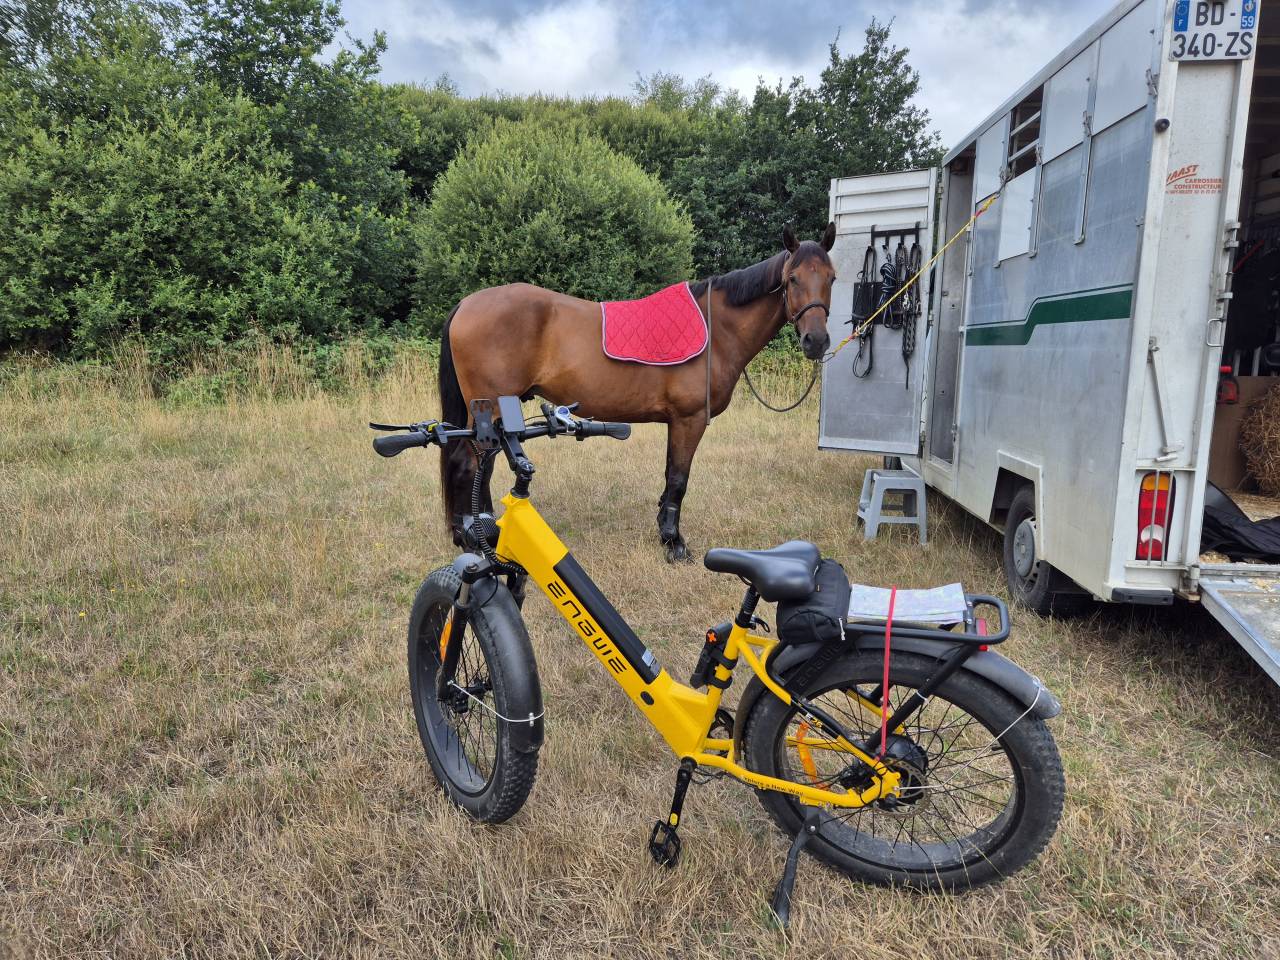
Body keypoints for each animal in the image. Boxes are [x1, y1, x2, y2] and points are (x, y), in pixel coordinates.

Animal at [437, 222, 837, 561]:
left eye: (832, 277)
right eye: (792, 278)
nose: (815, 341)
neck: (717, 330)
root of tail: (467, 304)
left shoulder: (678, 422)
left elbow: (670, 478)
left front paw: (664, 533)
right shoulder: (689, 420)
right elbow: (678, 480)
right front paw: (675, 545)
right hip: (490, 409)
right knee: (470, 464)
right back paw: (473, 536)